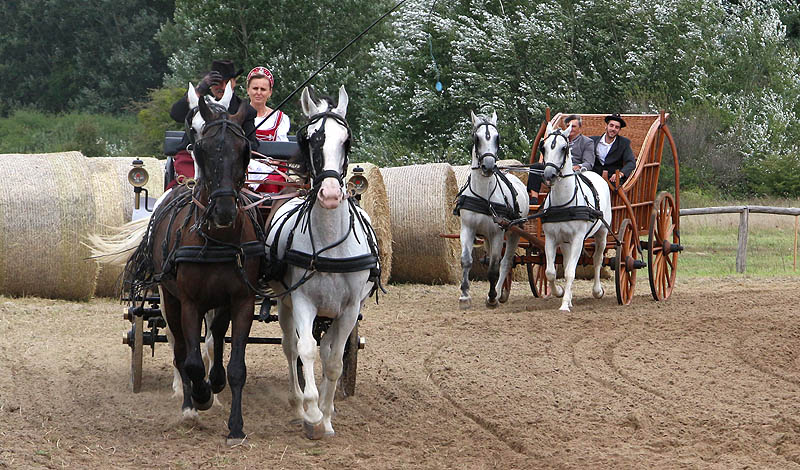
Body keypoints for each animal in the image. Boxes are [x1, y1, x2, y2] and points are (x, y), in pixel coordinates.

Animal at [266, 85, 378, 440]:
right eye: (310, 139)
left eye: (347, 141)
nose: (329, 194)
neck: (331, 247)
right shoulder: (302, 300)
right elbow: (305, 351)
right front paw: (312, 412)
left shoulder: (350, 309)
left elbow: (334, 362)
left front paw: (327, 418)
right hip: (285, 302)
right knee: (291, 346)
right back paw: (297, 402)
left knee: (327, 348)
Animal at [456, 110, 532, 308]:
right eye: (477, 138)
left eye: (497, 138)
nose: (489, 166)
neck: (484, 195)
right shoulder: (468, 228)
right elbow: (466, 261)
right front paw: (464, 295)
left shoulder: (497, 232)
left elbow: (494, 267)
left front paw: (491, 297)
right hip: (487, 236)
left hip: (514, 232)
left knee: (505, 263)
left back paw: (498, 293)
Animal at [536, 121, 612, 312]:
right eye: (543, 147)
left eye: (564, 148)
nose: (549, 175)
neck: (563, 203)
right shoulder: (551, 238)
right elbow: (550, 272)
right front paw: (560, 292)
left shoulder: (578, 238)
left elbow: (571, 271)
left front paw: (564, 305)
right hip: (565, 241)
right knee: (567, 260)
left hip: (602, 233)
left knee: (598, 259)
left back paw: (597, 291)